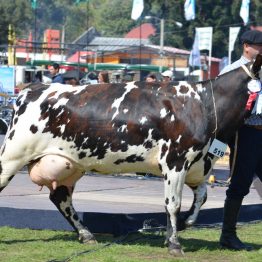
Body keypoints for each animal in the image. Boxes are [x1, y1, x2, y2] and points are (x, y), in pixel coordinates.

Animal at [0, 53, 260, 256]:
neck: (205, 105)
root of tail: (31, 90)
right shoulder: (175, 161)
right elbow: (173, 203)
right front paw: (174, 244)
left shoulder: (198, 165)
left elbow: (201, 199)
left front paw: (181, 226)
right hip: (13, 154)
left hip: (71, 164)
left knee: (60, 198)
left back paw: (87, 235)